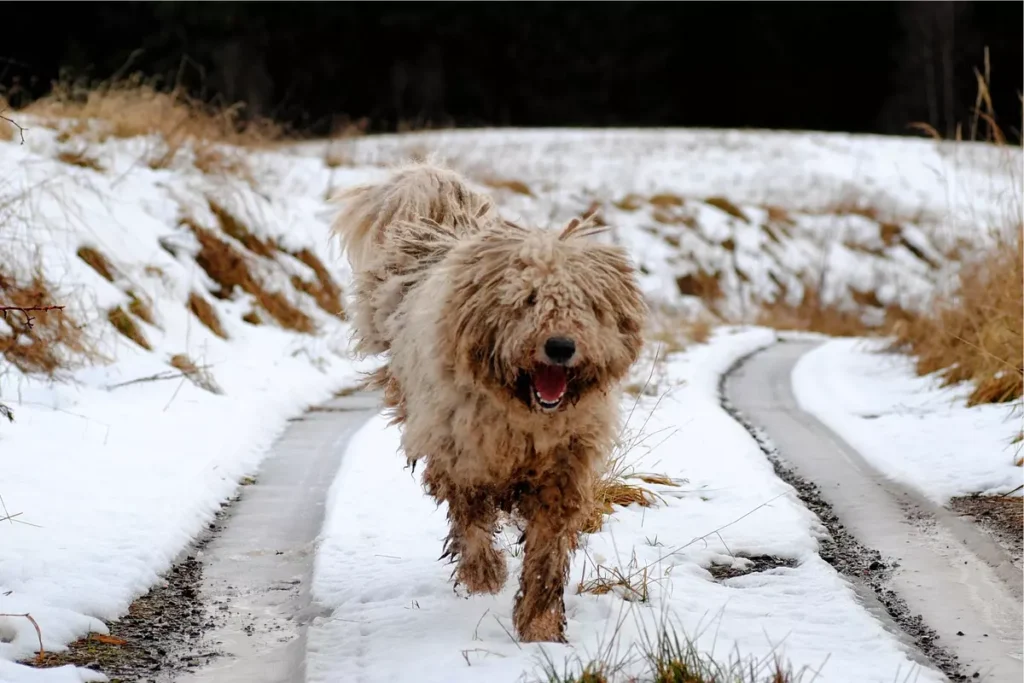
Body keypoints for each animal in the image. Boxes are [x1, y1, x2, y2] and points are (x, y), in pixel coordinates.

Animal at [331, 160, 643, 643]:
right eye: (528, 300)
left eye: (585, 305)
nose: (560, 346)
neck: (524, 414)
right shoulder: (461, 455)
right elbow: (471, 519)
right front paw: (484, 575)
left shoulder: (564, 469)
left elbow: (547, 553)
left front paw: (540, 626)